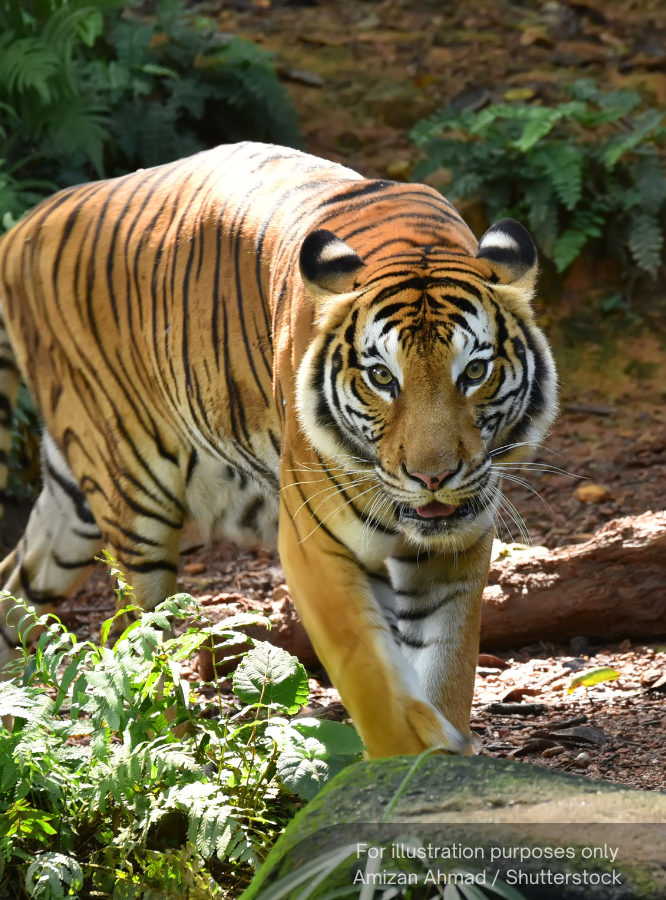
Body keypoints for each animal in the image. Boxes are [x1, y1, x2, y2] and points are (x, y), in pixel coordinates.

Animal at [0, 142, 557, 758]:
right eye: (382, 378)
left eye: (475, 372)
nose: (432, 477)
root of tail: (26, 223)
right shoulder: (315, 542)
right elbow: (372, 678)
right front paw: (409, 756)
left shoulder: (455, 548)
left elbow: (446, 668)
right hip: (133, 492)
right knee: (150, 643)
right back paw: (178, 746)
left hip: (72, 508)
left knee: (16, 589)